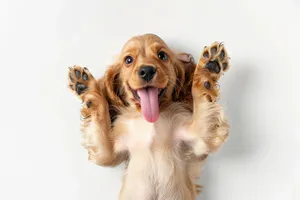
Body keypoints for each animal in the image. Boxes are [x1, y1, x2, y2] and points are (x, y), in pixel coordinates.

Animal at [67, 33, 230, 199]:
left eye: (162, 55)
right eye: (128, 60)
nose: (146, 70)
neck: (149, 119)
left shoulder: (200, 140)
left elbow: (201, 94)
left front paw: (208, 67)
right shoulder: (108, 154)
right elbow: (100, 116)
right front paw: (87, 87)